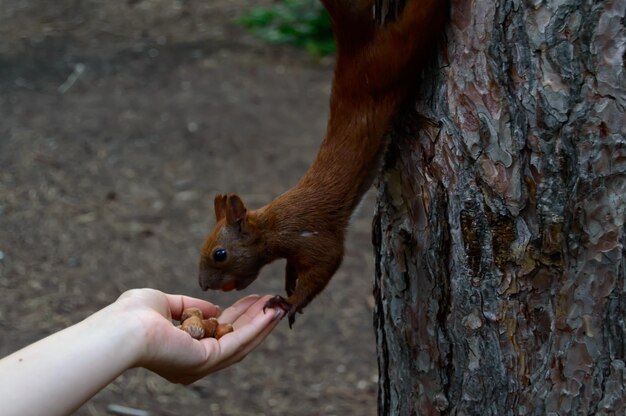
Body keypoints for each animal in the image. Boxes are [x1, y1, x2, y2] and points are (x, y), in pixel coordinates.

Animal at [197, 0, 446, 326]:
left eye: (220, 254)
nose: (202, 285)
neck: (271, 226)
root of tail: (352, 50)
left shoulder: (310, 236)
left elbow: (325, 263)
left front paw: (290, 302)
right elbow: (294, 268)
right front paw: (289, 287)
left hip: (396, 58)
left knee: (419, 22)